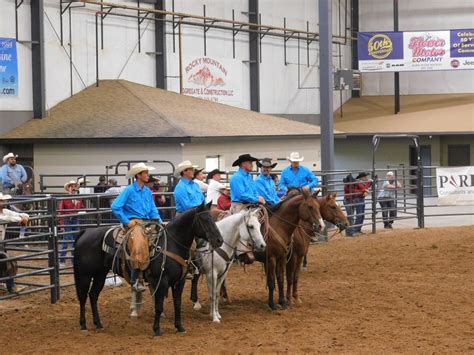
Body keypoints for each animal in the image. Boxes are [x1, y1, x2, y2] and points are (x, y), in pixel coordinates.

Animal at [72, 203, 224, 336]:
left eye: (213, 219)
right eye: (204, 220)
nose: (219, 240)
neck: (171, 245)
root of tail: (86, 231)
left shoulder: (179, 282)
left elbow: (177, 304)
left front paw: (179, 327)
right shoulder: (161, 281)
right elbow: (158, 306)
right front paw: (157, 330)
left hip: (100, 275)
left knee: (93, 295)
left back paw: (98, 324)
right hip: (85, 275)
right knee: (83, 296)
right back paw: (83, 325)